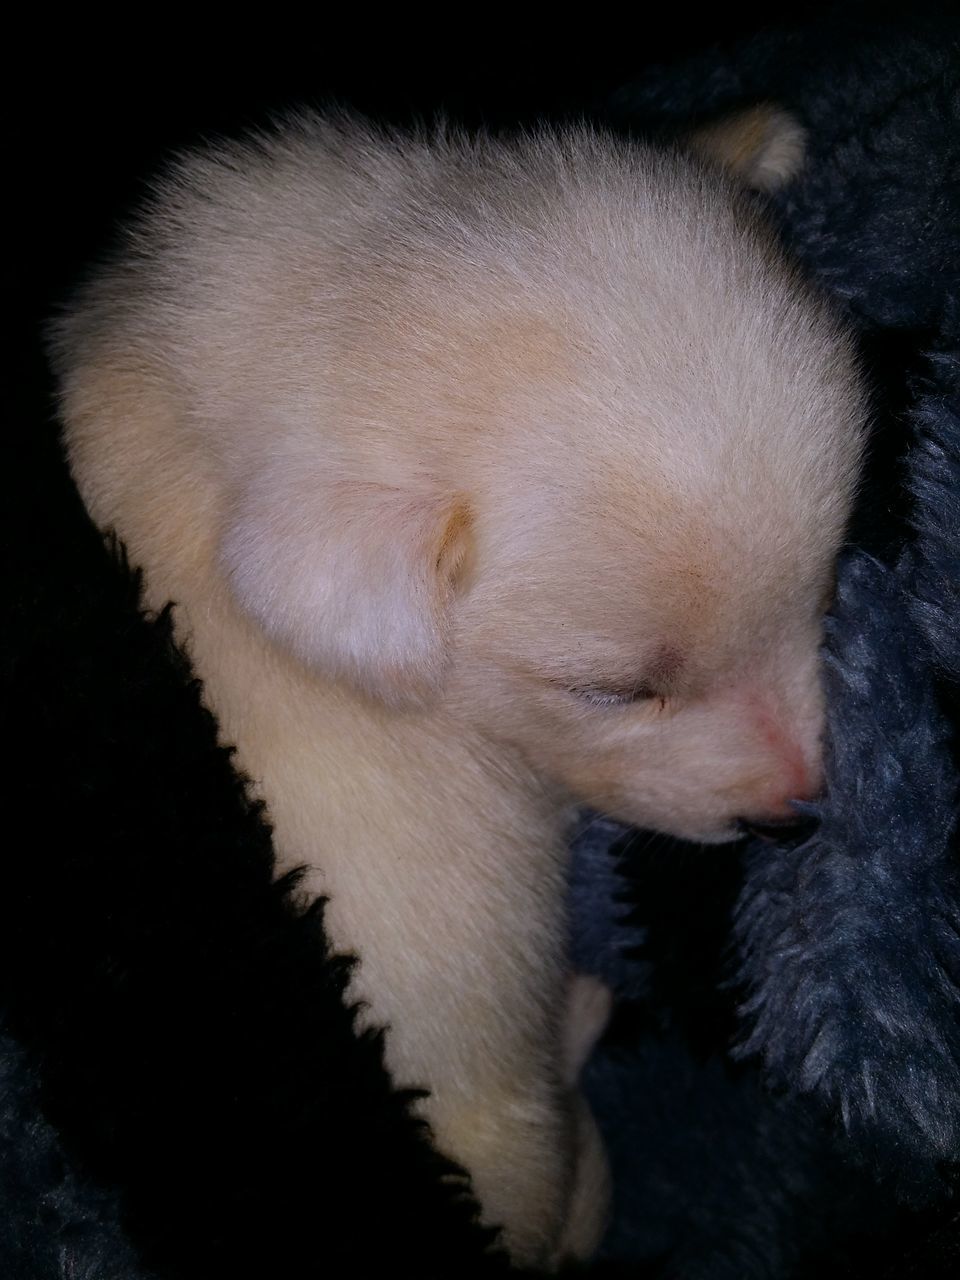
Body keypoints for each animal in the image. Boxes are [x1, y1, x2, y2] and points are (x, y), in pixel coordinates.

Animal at [48, 112, 870, 1269]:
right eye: (614, 689)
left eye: (831, 585)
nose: (797, 815)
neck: (330, 293)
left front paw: (752, 137)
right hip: (516, 1131)